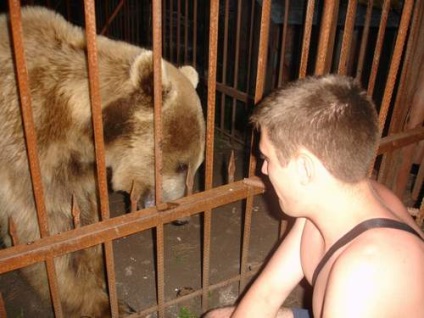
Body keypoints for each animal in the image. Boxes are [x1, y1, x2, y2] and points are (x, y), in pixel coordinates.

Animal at [0, 5, 205, 318]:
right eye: (181, 165)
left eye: (197, 165)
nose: (182, 218)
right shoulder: (27, 155)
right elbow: (50, 235)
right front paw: (103, 303)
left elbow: (87, 219)